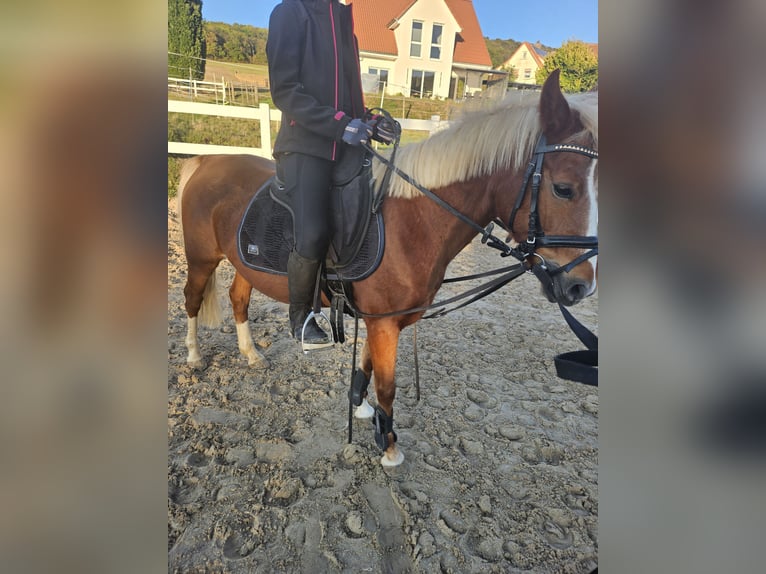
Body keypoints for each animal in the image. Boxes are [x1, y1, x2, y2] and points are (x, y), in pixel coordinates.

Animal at [176, 70, 598, 467]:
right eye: (563, 188)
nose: (581, 286)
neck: (413, 220)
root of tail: (207, 160)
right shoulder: (384, 322)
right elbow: (388, 385)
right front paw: (389, 445)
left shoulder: (380, 319)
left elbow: (366, 368)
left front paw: (364, 410)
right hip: (202, 258)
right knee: (192, 299)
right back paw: (194, 357)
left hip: (244, 263)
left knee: (238, 299)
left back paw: (250, 354)